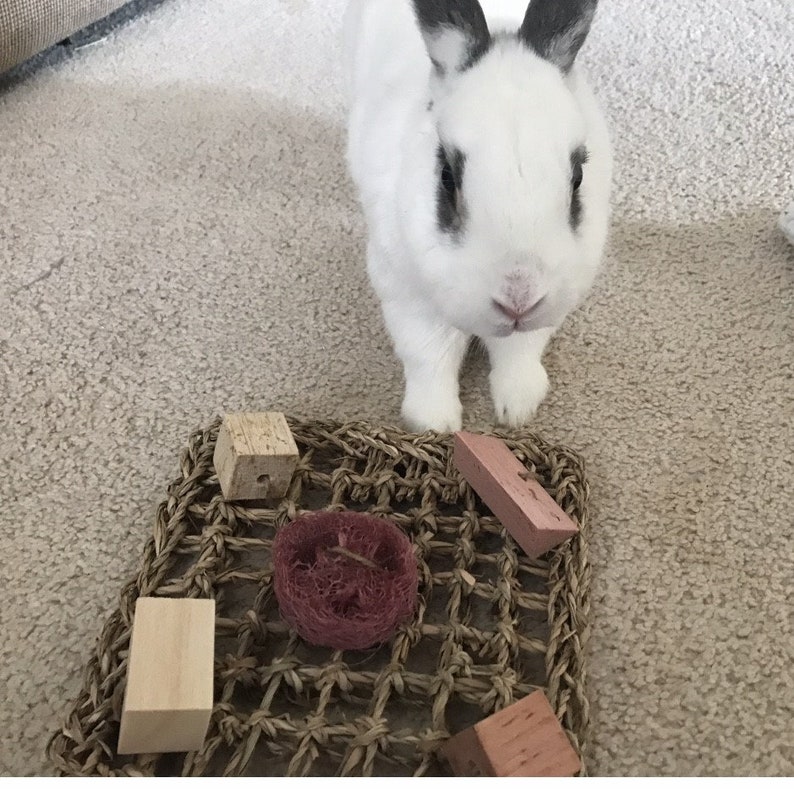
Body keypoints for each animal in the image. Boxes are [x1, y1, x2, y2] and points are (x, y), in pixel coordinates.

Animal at [343, 0, 612, 432]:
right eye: (446, 176)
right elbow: (428, 356)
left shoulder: (545, 313)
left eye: (578, 178)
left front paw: (517, 409)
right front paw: (435, 424)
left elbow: (519, 350)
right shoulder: (407, 294)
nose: (519, 299)